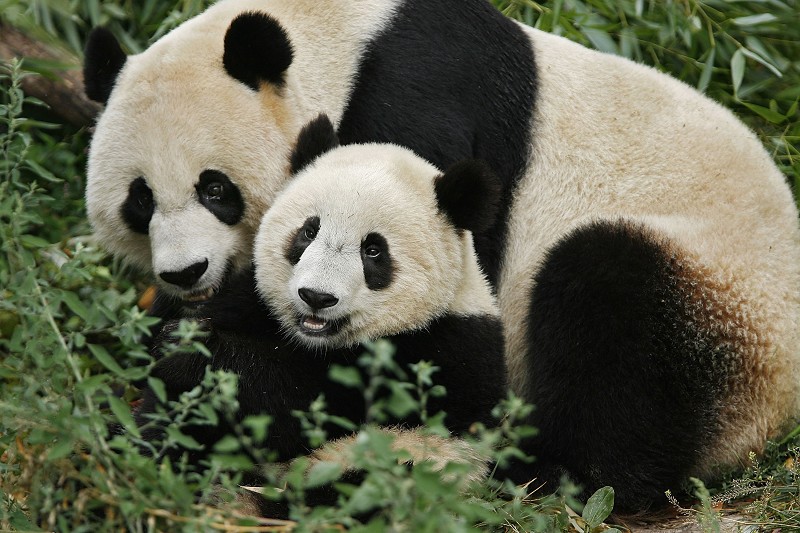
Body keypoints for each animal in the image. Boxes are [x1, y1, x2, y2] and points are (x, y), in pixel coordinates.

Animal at [83, 0, 800, 512]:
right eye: (140, 200)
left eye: (215, 189)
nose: (184, 273)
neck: (344, 40)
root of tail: (770, 420)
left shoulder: (422, 102)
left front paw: (204, 370)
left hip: (718, 294)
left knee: (610, 311)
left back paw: (552, 471)